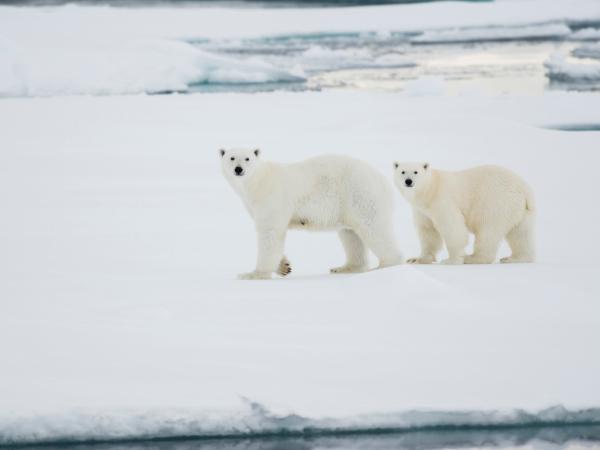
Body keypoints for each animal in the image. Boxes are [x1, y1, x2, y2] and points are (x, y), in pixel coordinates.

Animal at [219, 149, 404, 280]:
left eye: (247, 158)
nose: (238, 169)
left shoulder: (272, 198)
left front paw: (253, 274)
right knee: (350, 235)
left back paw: (386, 266)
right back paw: (345, 267)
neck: (258, 181)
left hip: (361, 195)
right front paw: (284, 266)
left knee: (373, 229)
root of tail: (384, 182)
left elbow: (270, 233)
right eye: (232, 158)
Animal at [394, 162, 536, 266]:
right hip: (521, 211)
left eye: (415, 172)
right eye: (402, 171)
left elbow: (453, 228)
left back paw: (472, 258)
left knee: (488, 231)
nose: (408, 181)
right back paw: (515, 258)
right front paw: (416, 259)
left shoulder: (442, 200)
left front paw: (451, 260)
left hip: (495, 203)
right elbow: (428, 232)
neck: (430, 189)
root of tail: (525, 189)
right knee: (520, 234)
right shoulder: (422, 210)